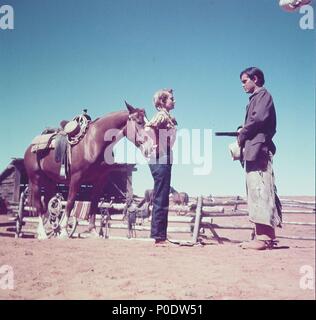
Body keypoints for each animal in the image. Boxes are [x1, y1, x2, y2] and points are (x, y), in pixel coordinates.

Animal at [24, 102, 146, 238]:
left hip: (50, 183)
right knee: (38, 206)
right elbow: (70, 201)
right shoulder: (76, 178)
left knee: (47, 206)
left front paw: (93, 231)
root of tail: (29, 147)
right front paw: (64, 231)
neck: (94, 142)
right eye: (139, 122)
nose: (148, 144)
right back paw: (42, 233)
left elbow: (94, 203)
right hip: (36, 180)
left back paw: (48, 231)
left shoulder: (100, 180)